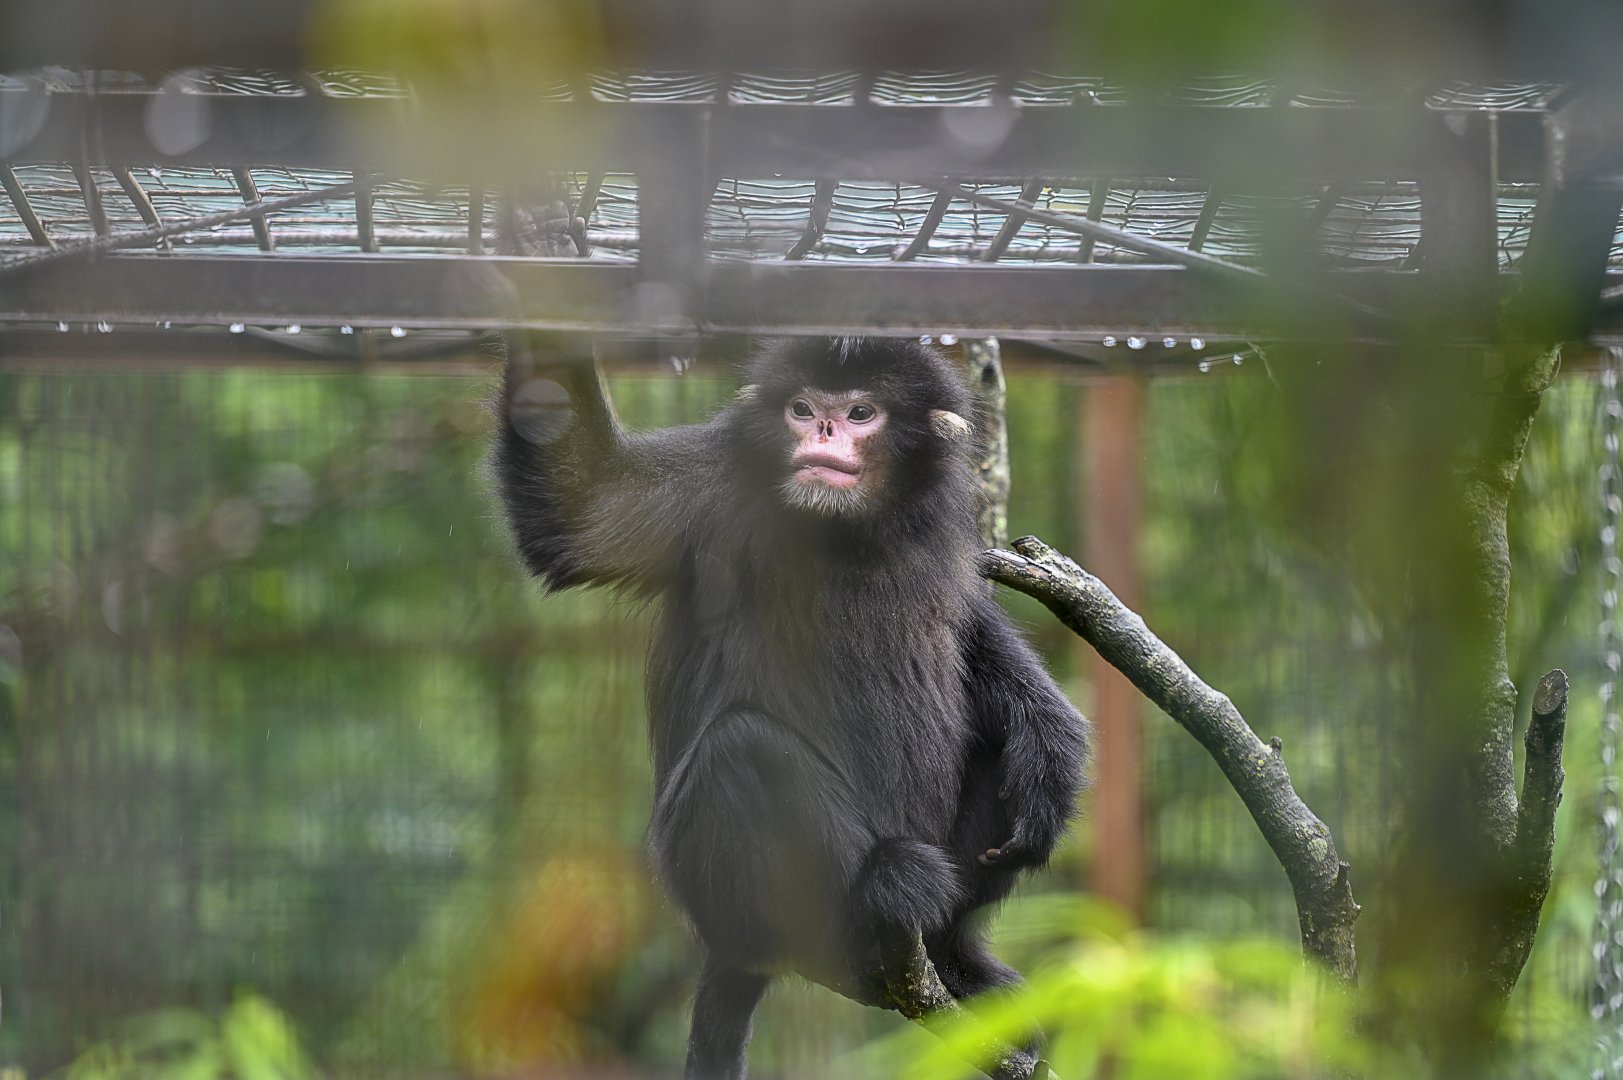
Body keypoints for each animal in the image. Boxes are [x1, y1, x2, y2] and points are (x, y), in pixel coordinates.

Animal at [491, 334, 1088, 1079]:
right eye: (802, 409)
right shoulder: (717, 484)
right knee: (741, 747)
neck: (845, 532)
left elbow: (968, 623)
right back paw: (876, 904)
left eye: (859, 412)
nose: (823, 432)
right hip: (721, 892)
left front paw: (1048, 730)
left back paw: (955, 960)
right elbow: (581, 510)